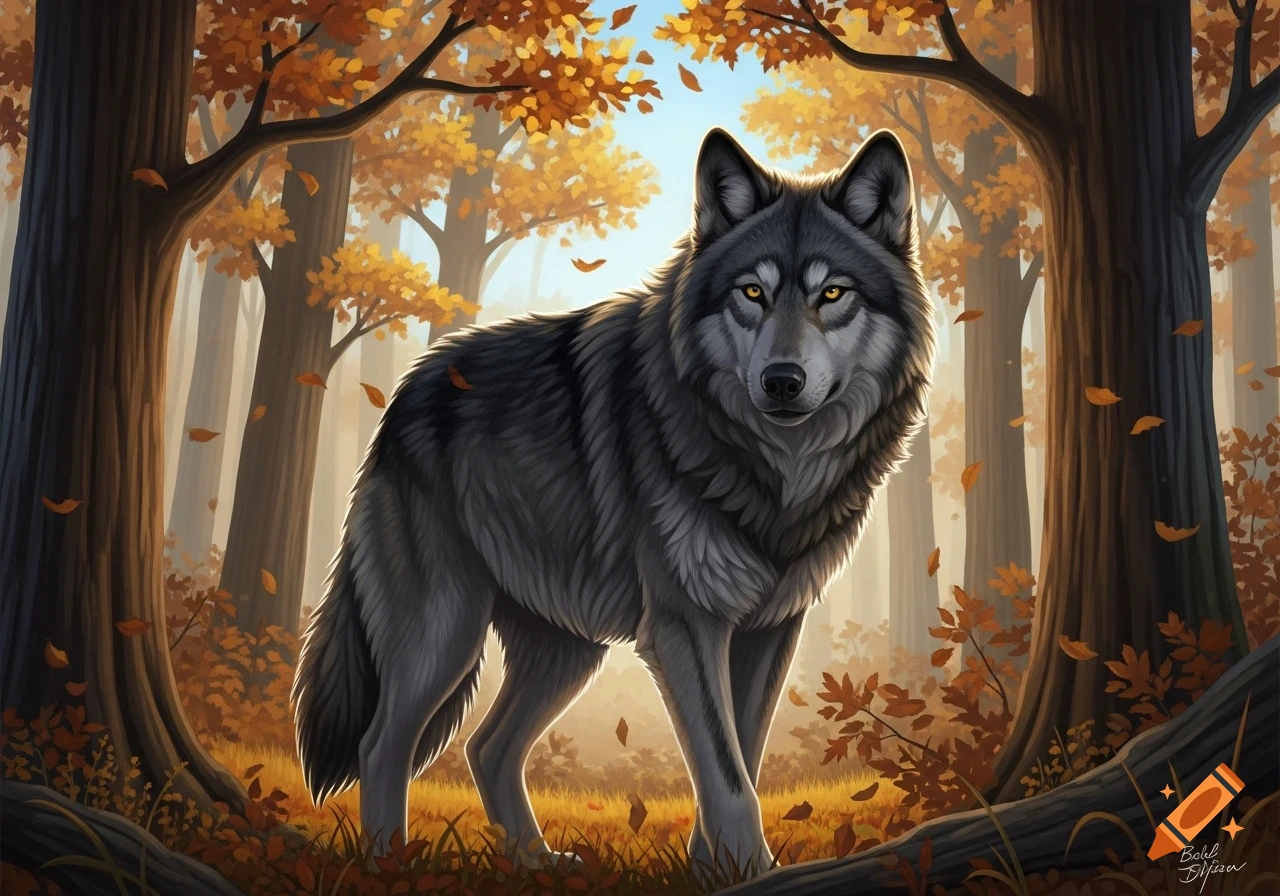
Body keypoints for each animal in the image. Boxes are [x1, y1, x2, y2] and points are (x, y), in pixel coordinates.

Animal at [293, 127, 935, 873]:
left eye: (832, 293)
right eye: (752, 291)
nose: (781, 381)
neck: (775, 471)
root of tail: (406, 393)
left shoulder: (771, 628)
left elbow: (738, 756)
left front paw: (712, 869)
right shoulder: (684, 623)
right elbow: (727, 772)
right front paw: (748, 869)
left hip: (568, 648)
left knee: (487, 747)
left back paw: (537, 864)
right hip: (444, 628)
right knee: (382, 745)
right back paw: (390, 865)